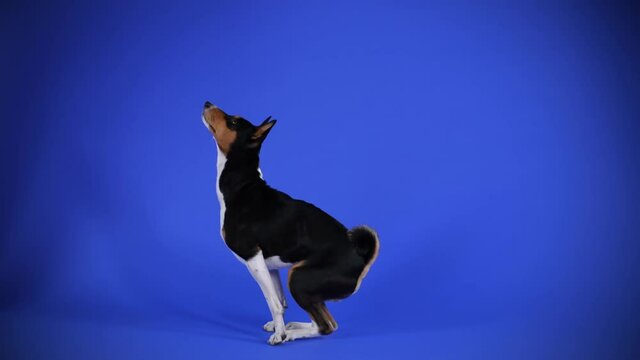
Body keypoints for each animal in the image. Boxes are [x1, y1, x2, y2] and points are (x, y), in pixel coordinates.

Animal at [202, 100, 378, 344]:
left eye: (233, 122)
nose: (207, 103)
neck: (242, 186)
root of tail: (360, 259)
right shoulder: (269, 265)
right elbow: (281, 303)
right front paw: (279, 327)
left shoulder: (253, 258)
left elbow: (273, 303)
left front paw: (279, 334)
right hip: (305, 285)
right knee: (325, 322)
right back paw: (293, 327)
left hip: (298, 278)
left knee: (325, 327)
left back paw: (290, 334)